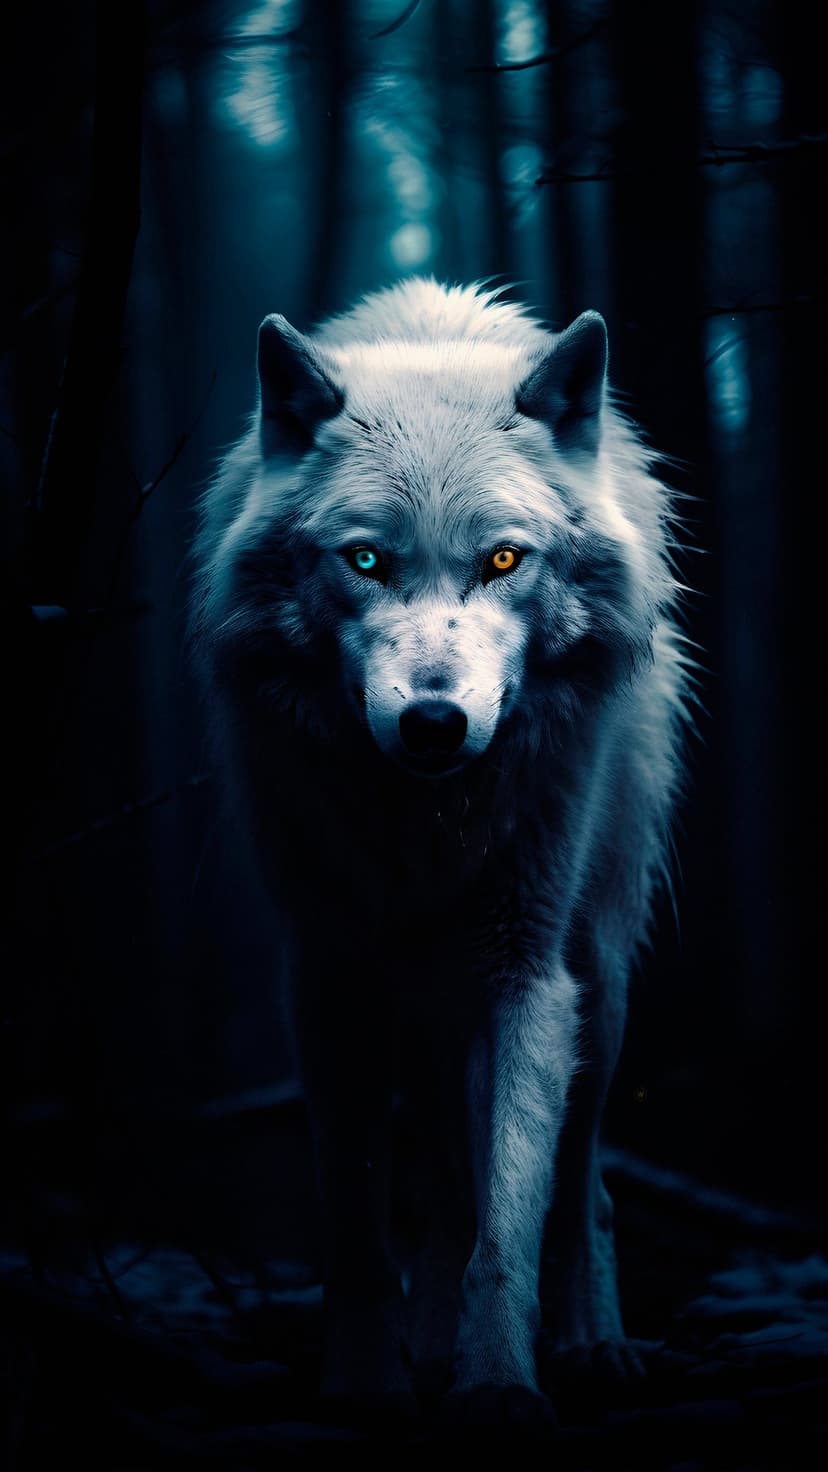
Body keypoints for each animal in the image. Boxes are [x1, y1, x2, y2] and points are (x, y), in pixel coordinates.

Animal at [191, 279, 692, 1422]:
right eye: (366, 559)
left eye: (503, 559)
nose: (433, 724)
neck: (422, 825)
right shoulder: (327, 976)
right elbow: (360, 1227)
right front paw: (364, 1382)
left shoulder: (525, 970)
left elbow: (509, 1221)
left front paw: (499, 1384)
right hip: (416, 1003)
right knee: (437, 1185)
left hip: (600, 975)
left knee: (582, 1183)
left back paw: (596, 1344)